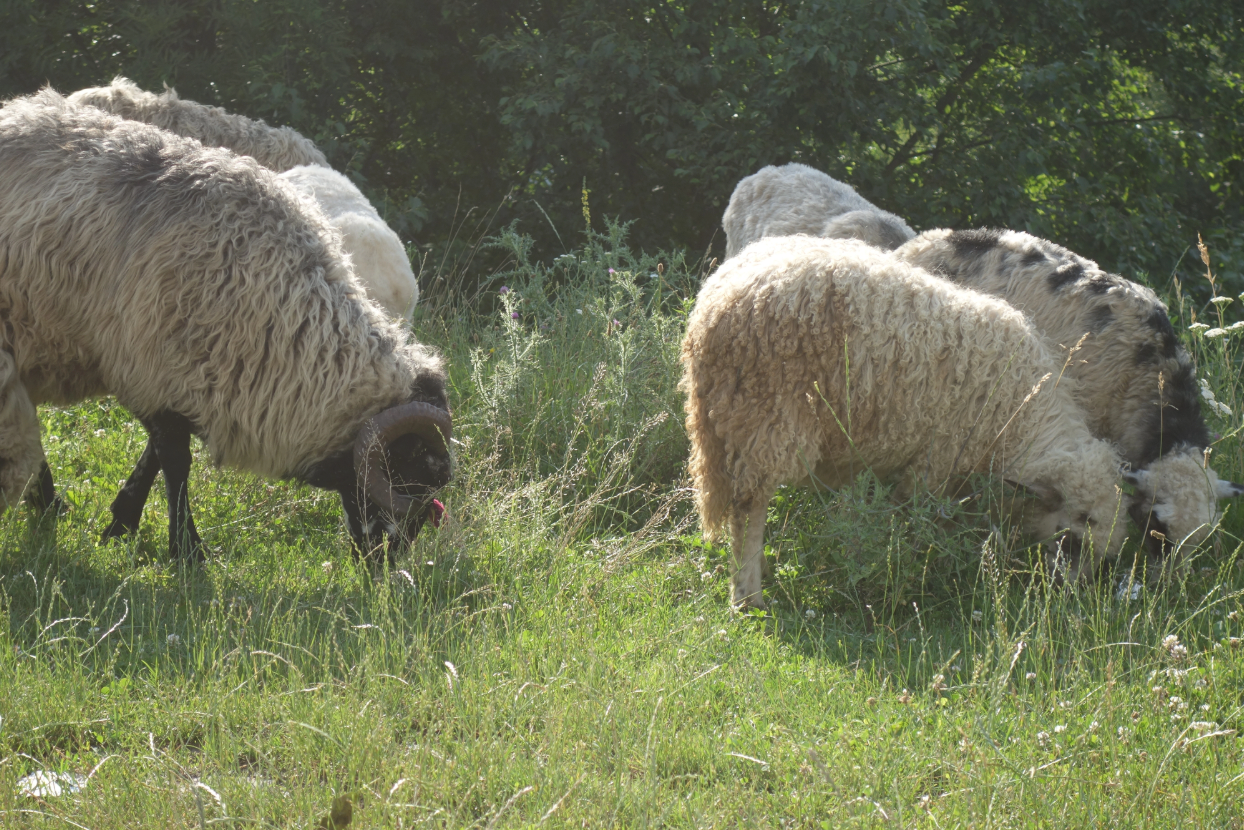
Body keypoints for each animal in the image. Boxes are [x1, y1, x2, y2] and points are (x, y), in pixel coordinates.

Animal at [0, 88, 451, 559]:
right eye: (410, 468)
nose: (387, 561)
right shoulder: (151, 365)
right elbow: (175, 460)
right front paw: (186, 549)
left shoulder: (180, 374)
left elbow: (159, 454)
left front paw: (124, 522)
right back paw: (47, 502)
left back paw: (47, 503)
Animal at [681, 235, 1129, 609]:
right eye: (1071, 537)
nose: (1071, 595)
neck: (1021, 414)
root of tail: (711, 310)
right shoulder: (934, 463)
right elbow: (919, 526)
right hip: (766, 418)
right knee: (748, 510)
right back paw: (747, 595)